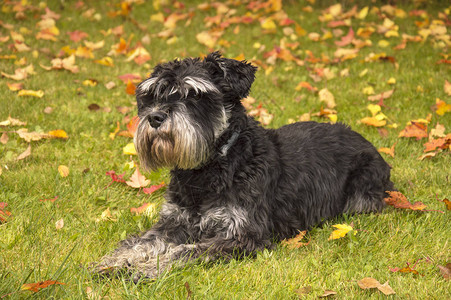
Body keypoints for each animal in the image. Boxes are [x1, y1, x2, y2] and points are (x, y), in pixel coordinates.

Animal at [96, 52, 396, 282]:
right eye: (151, 95)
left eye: (194, 95)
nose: (155, 117)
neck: (207, 171)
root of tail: (367, 143)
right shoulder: (173, 222)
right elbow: (141, 242)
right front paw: (115, 261)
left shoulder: (242, 235)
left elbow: (184, 251)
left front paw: (146, 268)